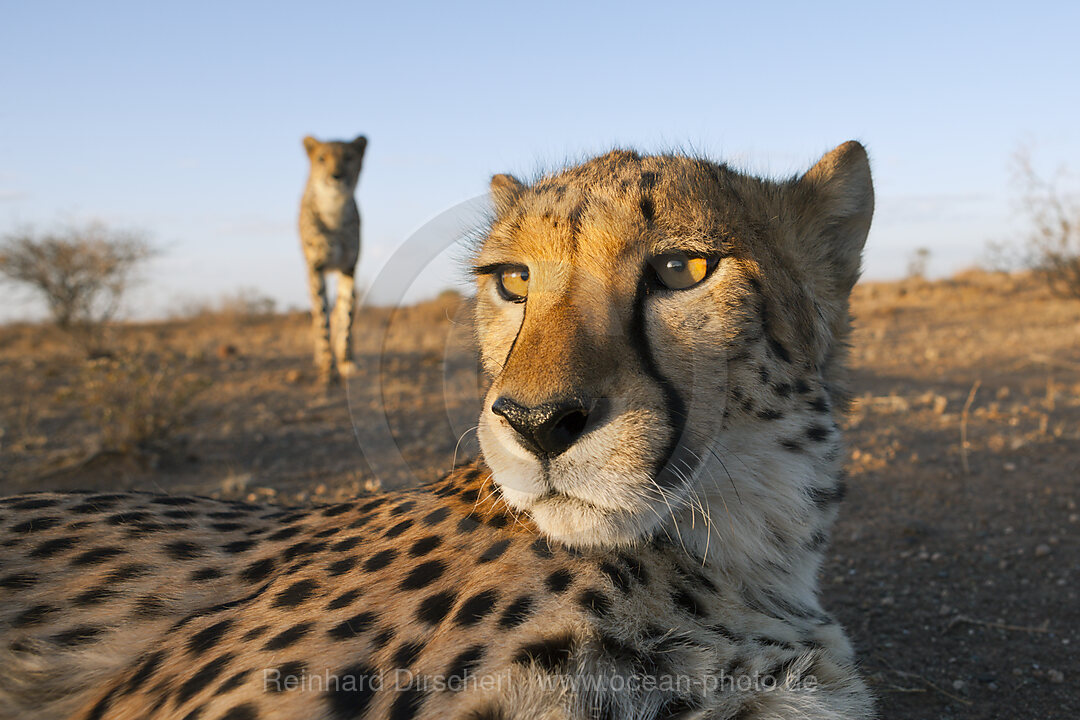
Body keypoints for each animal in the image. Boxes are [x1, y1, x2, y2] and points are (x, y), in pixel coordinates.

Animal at [302, 134, 369, 382]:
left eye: (348, 157)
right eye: (322, 158)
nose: (336, 176)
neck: (334, 210)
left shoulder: (349, 268)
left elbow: (346, 315)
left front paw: (346, 361)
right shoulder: (317, 269)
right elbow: (323, 320)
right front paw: (327, 367)